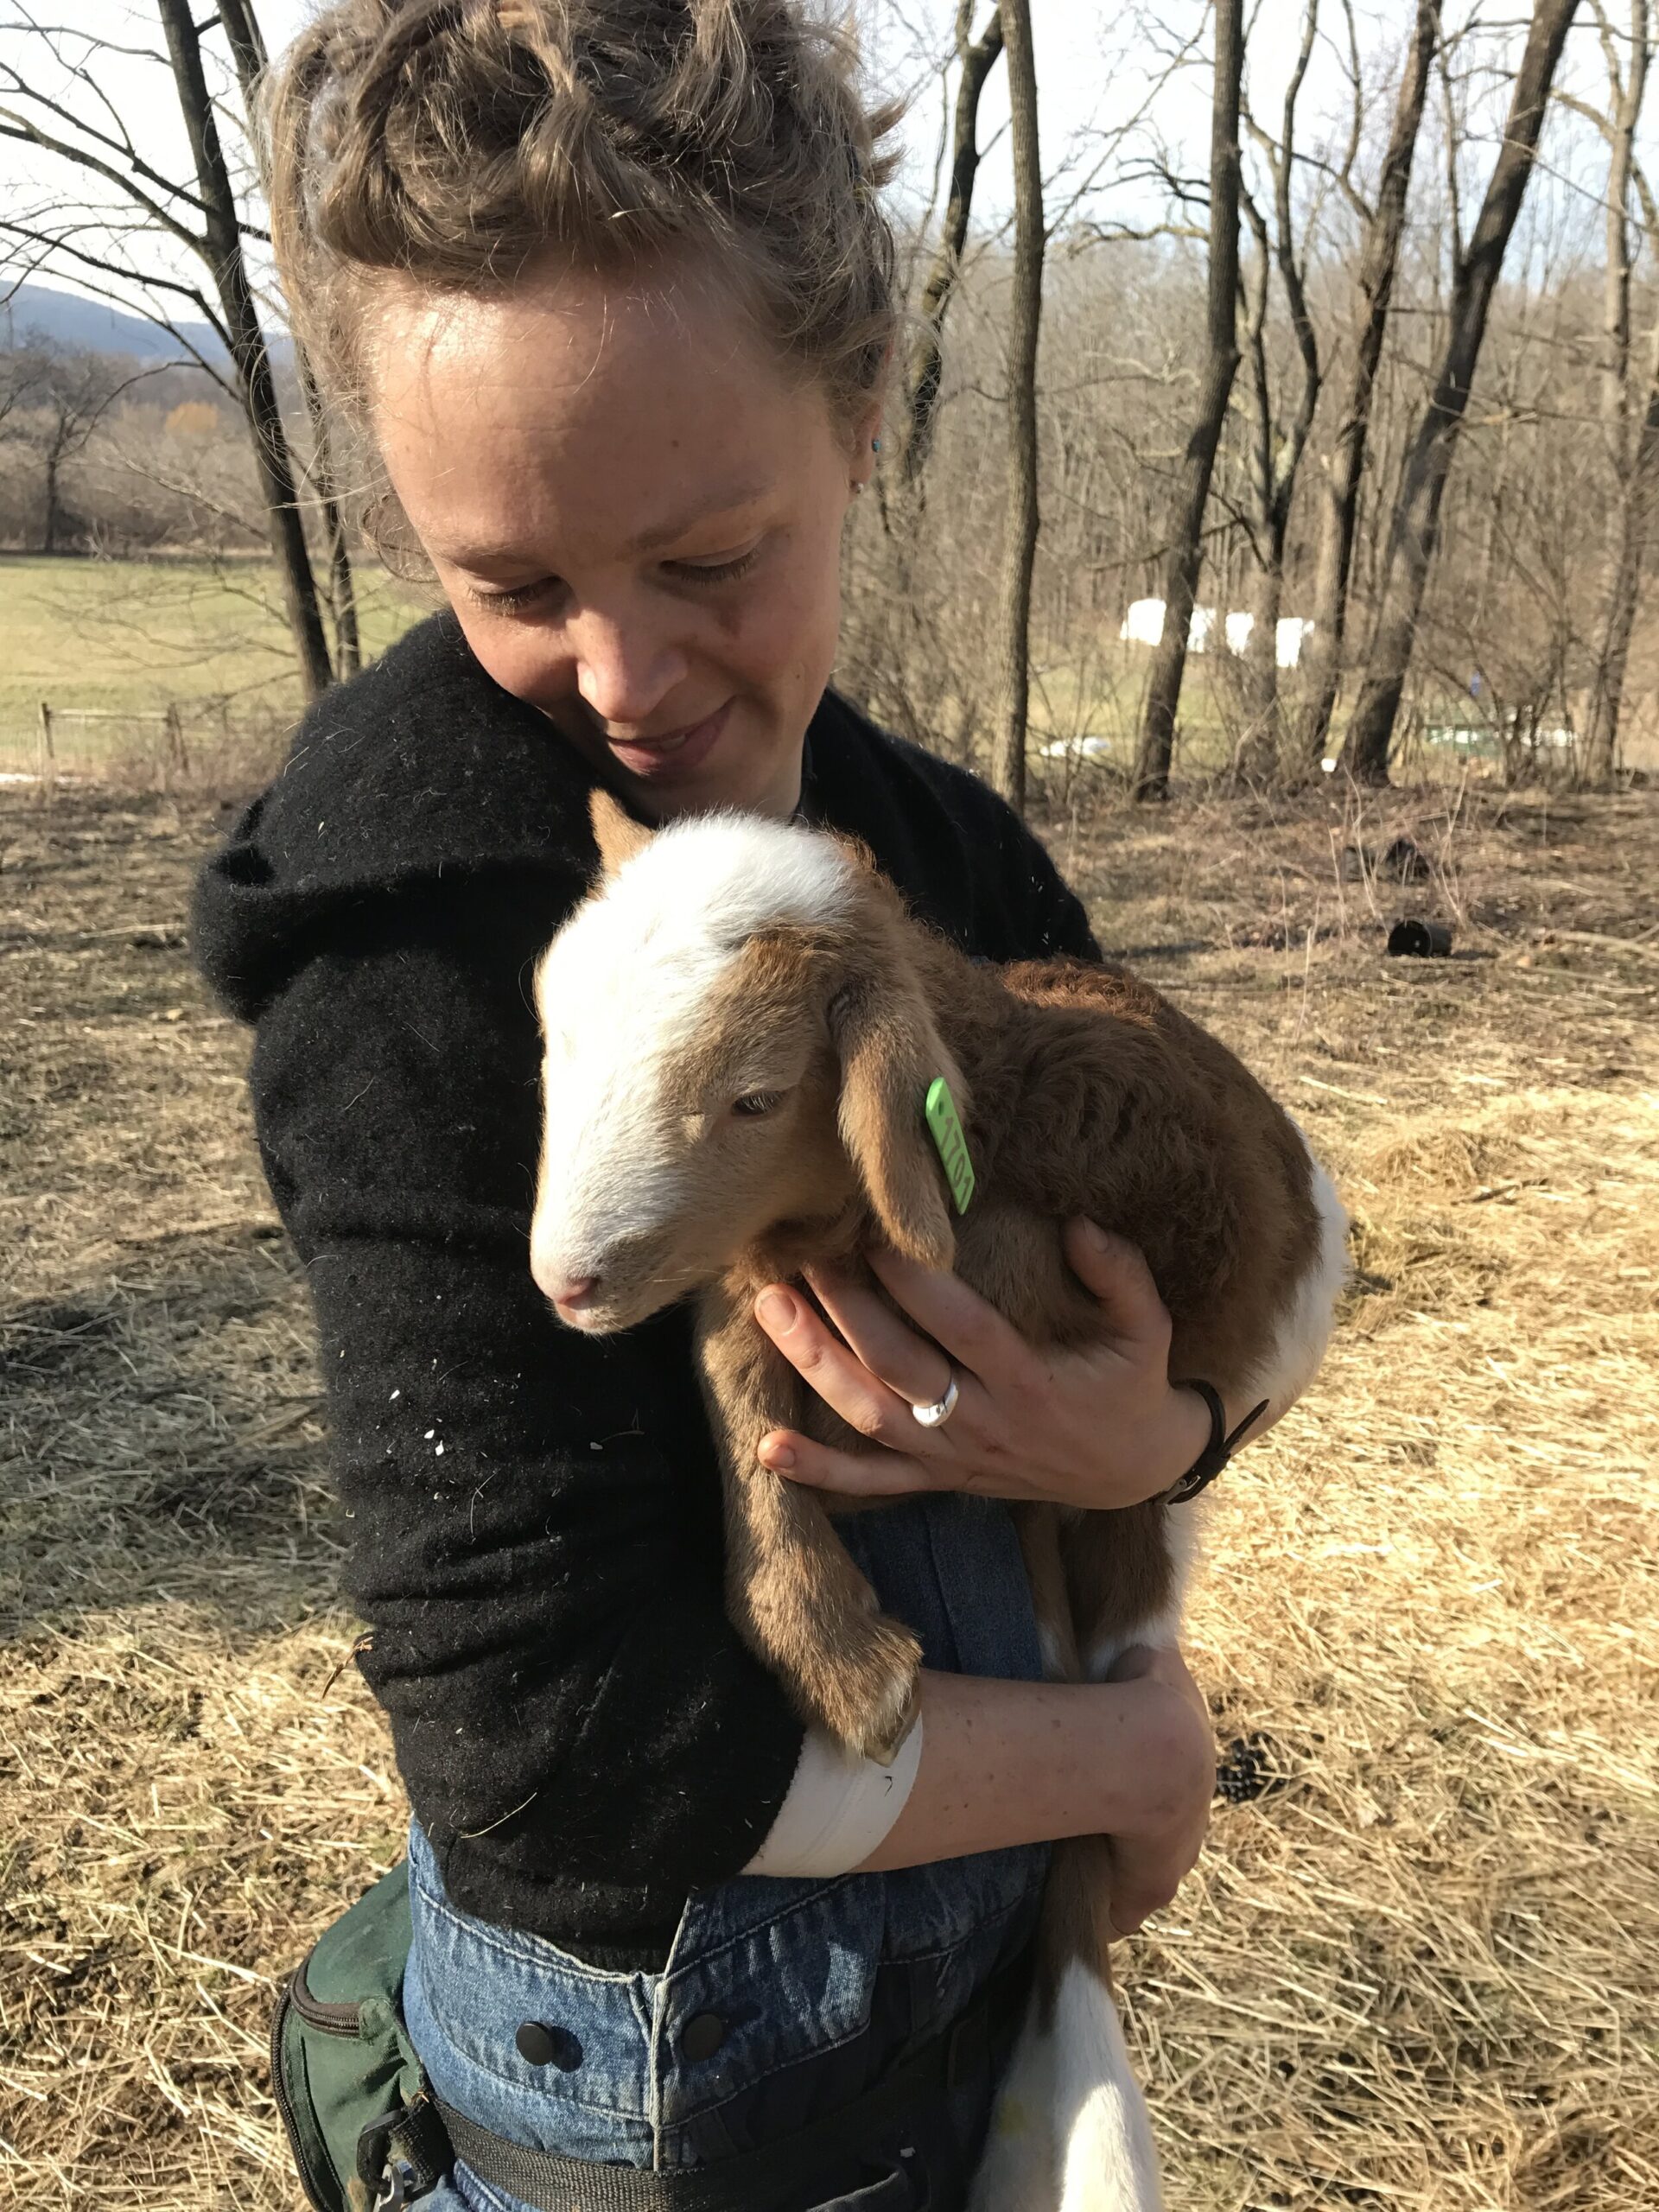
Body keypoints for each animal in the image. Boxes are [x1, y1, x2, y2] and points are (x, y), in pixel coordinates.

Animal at [530, 790, 1349, 2212]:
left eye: (754, 1097)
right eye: (554, 1039)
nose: (565, 1280)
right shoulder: (748, 1281)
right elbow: (736, 1372)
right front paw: (841, 1658)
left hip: (1137, 1550)